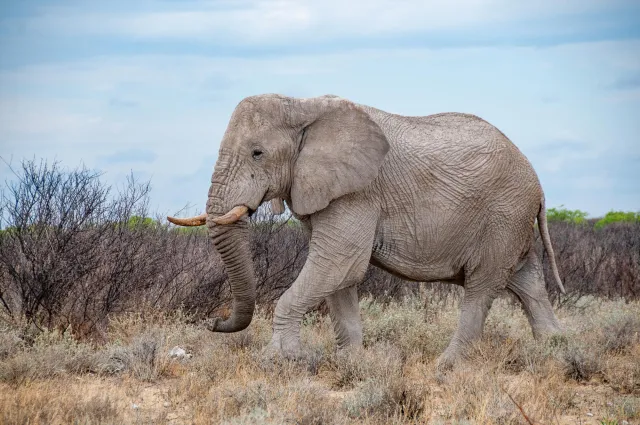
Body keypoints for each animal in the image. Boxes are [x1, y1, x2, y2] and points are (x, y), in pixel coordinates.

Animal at [169, 93, 564, 368]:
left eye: (257, 153)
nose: (213, 321)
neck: (303, 105)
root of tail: (539, 183)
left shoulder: (358, 193)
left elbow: (338, 265)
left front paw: (281, 360)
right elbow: (338, 278)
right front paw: (350, 363)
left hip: (503, 214)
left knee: (483, 286)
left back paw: (446, 366)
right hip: (512, 220)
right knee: (527, 283)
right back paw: (556, 351)